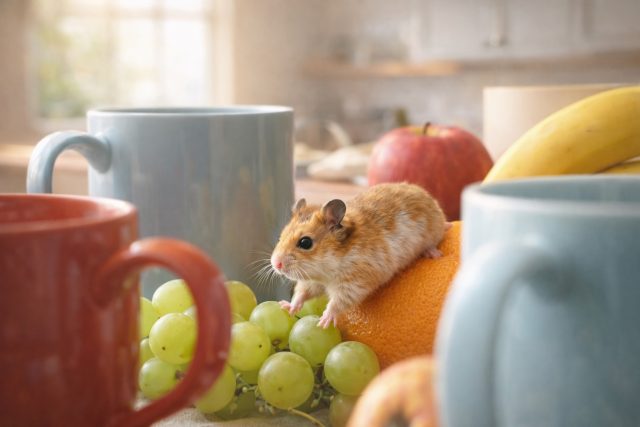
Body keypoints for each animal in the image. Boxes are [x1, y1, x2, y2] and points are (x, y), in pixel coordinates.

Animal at [270, 182, 449, 328]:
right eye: (280, 237)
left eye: (305, 243)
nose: (275, 264)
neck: (328, 266)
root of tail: (427, 196)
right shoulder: (312, 281)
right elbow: (301, 294)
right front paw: (286, 307)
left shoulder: (353, 284)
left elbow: (336, 303)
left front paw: (323, 322)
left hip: (433, 232)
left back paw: (434, 253)